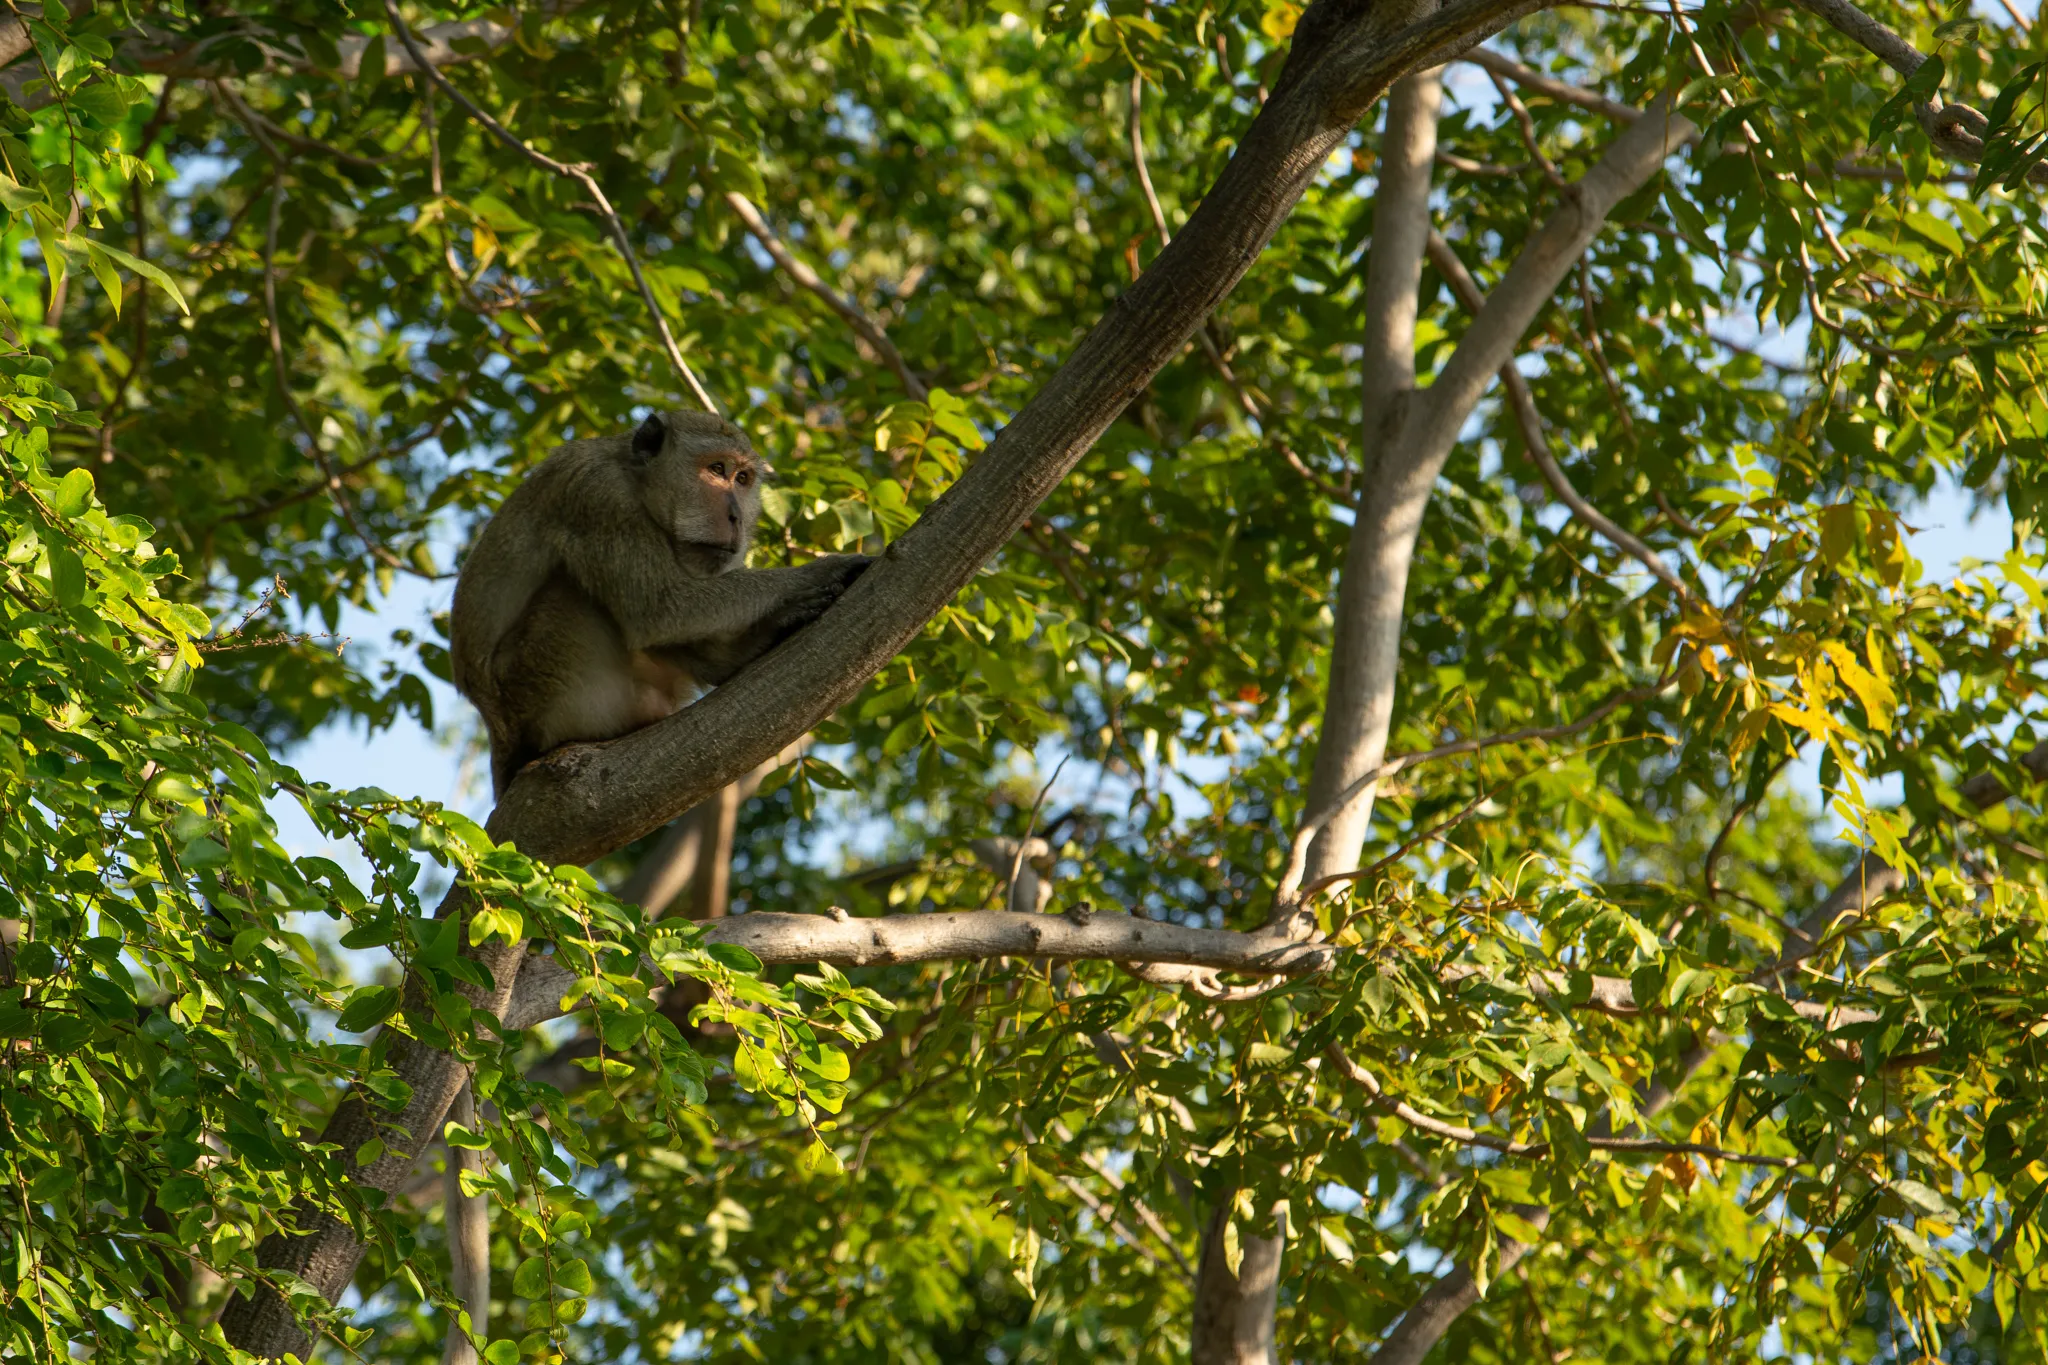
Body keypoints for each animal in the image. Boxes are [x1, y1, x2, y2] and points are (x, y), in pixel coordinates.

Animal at [450, 410, 872, 796]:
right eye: (717, 469)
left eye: (743, 479)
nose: (736, 516)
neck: (636, 481)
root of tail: (500, 733)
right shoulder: (599, 497)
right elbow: (660, 609)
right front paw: (823, 570)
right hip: (549, 684)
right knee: (574, 590)